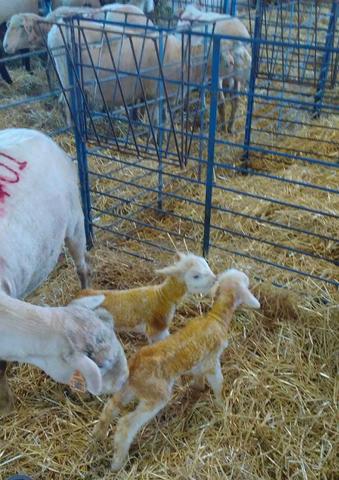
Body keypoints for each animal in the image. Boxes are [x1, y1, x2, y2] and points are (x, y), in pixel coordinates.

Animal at [76, 253, 216, 344]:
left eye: (206, 264)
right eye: (196, 276)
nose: (215, 279)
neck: (163, 296)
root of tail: (79, 295)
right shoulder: (156, 330)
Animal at [93, 268, 260, 470]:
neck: (217, 318)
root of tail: (133, 366)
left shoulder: (199, 363)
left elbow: (198, 377)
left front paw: (198, 389)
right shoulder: (212, 360)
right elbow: (218, 382)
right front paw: (222, 404)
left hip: (130, 388)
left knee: (110, 407)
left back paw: (98, 435)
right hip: (156, 395)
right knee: (126, 424)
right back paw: (118, 462)